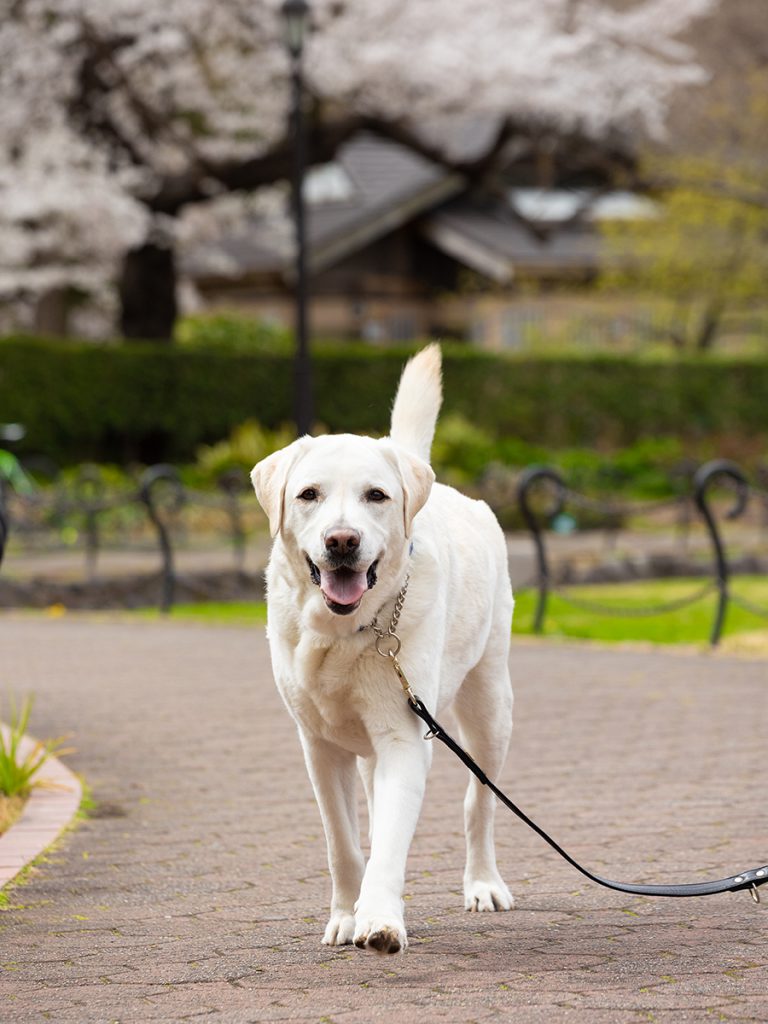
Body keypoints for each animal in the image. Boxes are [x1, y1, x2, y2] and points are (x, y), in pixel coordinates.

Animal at [253, 344, 518, 950]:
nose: (342, 541)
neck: (344, 633)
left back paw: (483, 883)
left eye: (376, 495)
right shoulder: (319, 747)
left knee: (480, 801)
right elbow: (344, 845)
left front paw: (378, 919)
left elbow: (391, 843)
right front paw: (346, 916)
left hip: (490, 706)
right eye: (308, 495)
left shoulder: (403, 738)